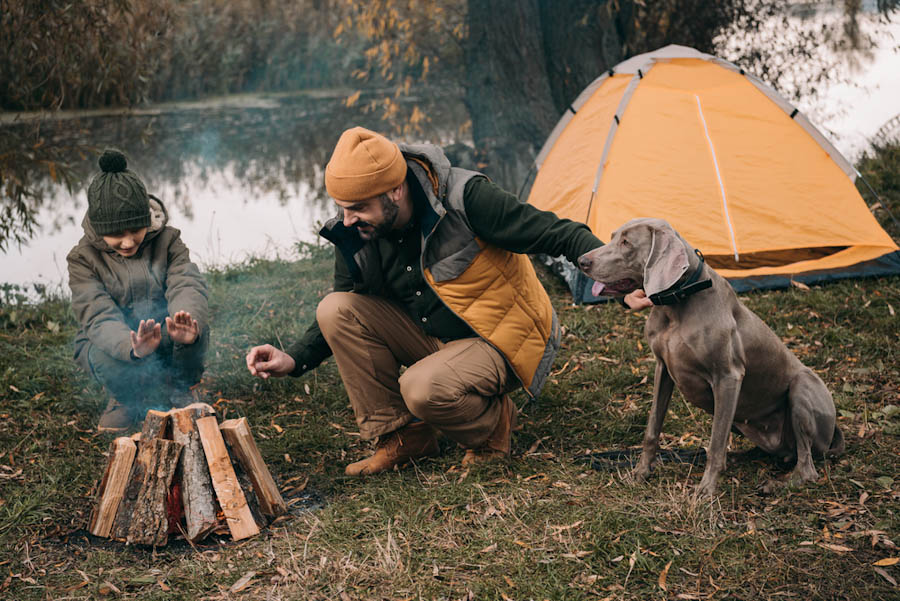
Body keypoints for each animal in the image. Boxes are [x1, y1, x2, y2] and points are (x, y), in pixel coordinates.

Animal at [576, 218, 844, 494]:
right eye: (612, 236)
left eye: (626, 243)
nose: (581, 261)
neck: (678, 301)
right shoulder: (663, 368)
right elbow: (652, 428)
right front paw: (640, 472)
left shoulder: (727, 376)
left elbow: (716, 441)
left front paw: (706, 490)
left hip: (803, 387)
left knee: (807, 467)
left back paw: (776, 484)